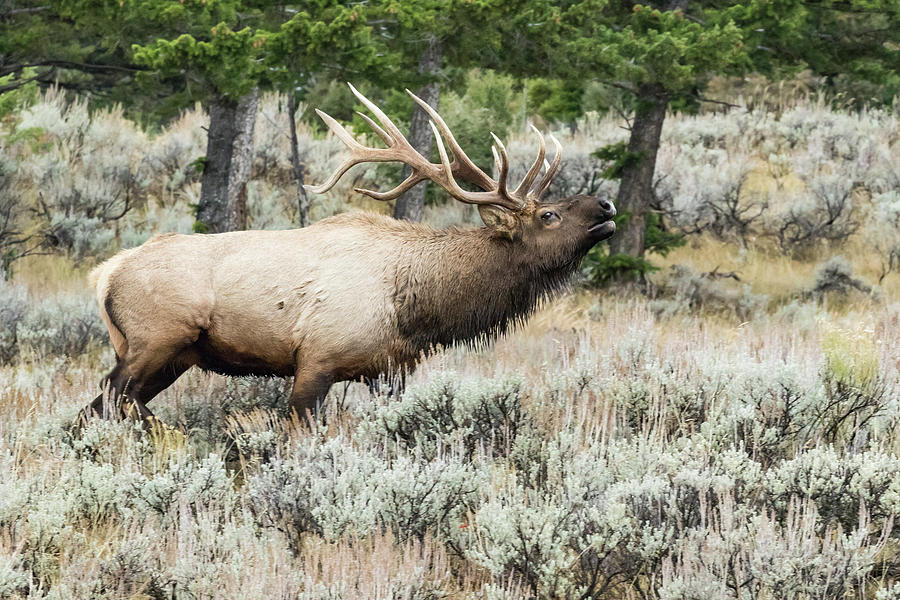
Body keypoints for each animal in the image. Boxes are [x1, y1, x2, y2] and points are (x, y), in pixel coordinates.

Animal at [82, 83, 612, 422]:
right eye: (549, 215)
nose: (606, 205)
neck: (415, 309)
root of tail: (105, 273)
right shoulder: (316, 360)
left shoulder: (390, 372)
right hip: (156, 339)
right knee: (111, 400)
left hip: (174, 356)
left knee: (98, 408)